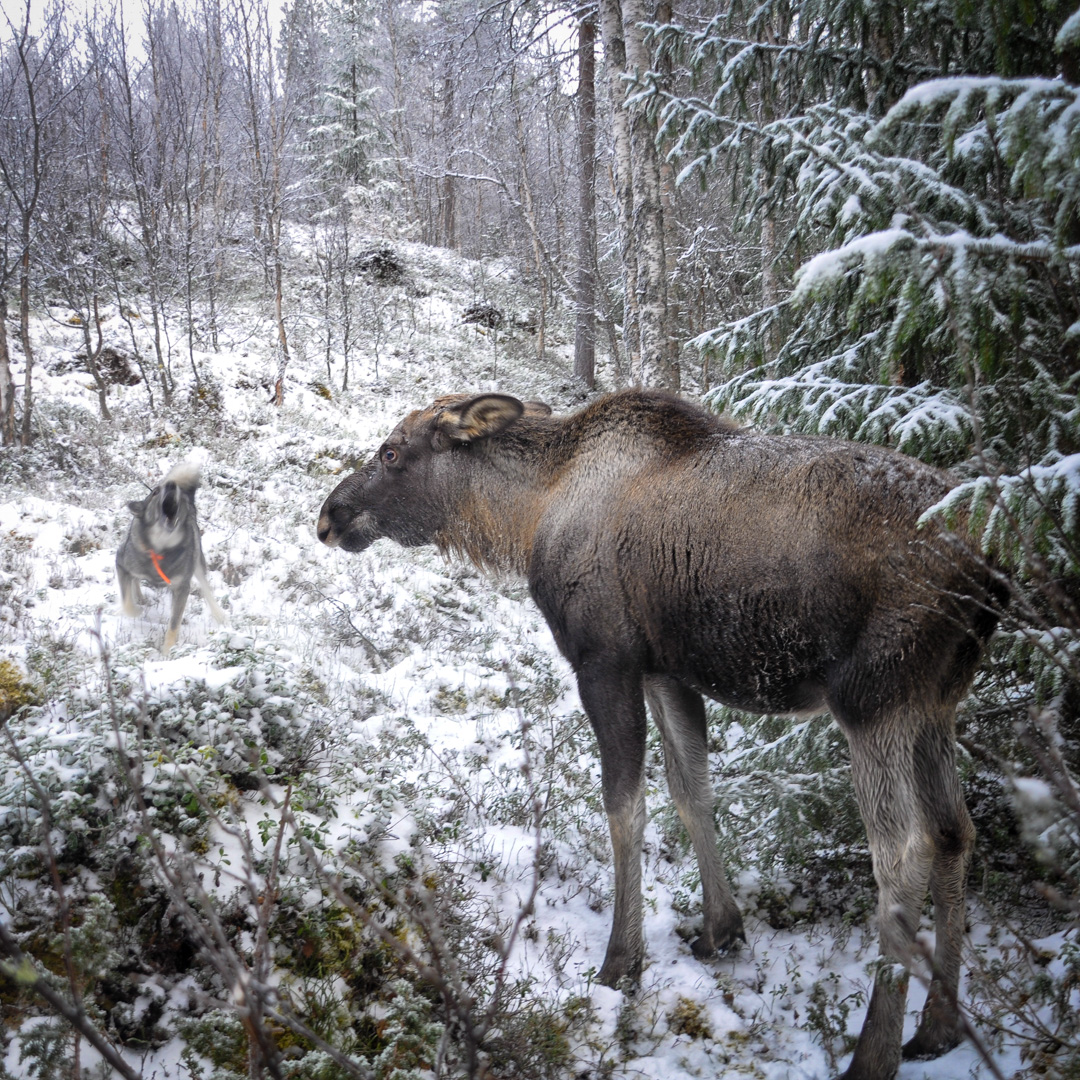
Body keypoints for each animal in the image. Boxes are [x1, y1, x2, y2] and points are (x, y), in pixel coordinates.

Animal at [117, 462, 226, 652]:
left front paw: (168, 651)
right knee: (133, 581)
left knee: (205, 586)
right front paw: (136, 611)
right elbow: (126, 601)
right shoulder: (121, 563)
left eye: (176, 493)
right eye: (155, 492)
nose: (171, 485)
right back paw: (139, 597)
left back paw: (218, 614)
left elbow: (174, 623)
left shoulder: (182, 588)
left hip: (197, 560)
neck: (160, 547)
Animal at [315, 393, 1002, 1080]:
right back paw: (939, 1025)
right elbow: (690, 789)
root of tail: (990, 569)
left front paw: (622, 962)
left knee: (904, 852)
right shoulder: (666, 670)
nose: (328, 516)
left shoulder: (605, 660)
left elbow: (626, 805)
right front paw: (722, 928)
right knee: (954, 829)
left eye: (391, 452)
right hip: (934, 702)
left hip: (872, 699)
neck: (528, 514)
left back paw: (874, 1052)